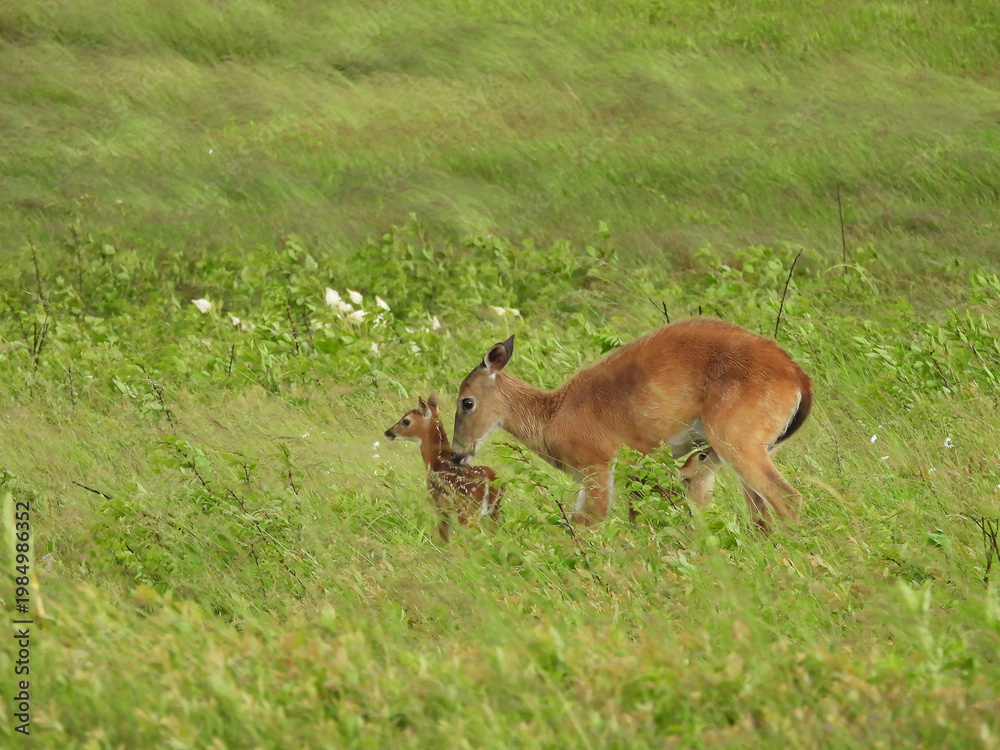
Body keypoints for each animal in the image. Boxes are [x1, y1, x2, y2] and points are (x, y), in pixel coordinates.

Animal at [384, 393, 504, 541]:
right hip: (494, 512)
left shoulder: (440, 504)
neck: (437, 462)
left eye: (406, 421)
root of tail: (491, 481)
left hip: (468, 512)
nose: (387, 432)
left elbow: (445, 539)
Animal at [450, 317, 812, 530]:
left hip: (739, 447)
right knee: (760, 513)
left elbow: (585, 522)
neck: (553, 413)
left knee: (788, 499)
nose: (456, 454)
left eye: (466, 401)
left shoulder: (598, 469)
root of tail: (797, 376)